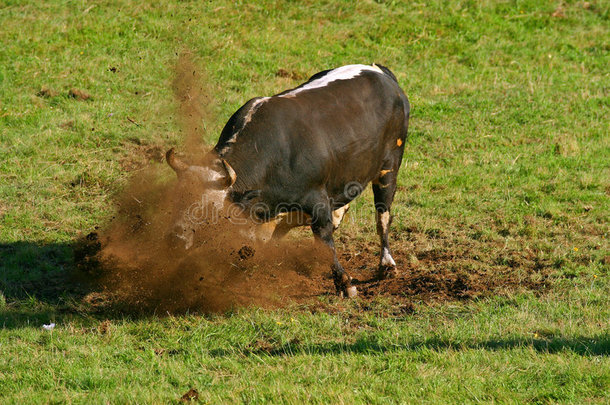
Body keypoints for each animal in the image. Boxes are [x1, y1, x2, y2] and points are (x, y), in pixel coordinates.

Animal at [166, 64, 408, 296]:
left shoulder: (318, 201)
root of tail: (381, 73)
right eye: (176, 197)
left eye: (210, 209)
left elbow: (325, 239)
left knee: (382, 215)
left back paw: (387, 264)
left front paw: (345, 284)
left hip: (389, 167)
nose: (175, 238)